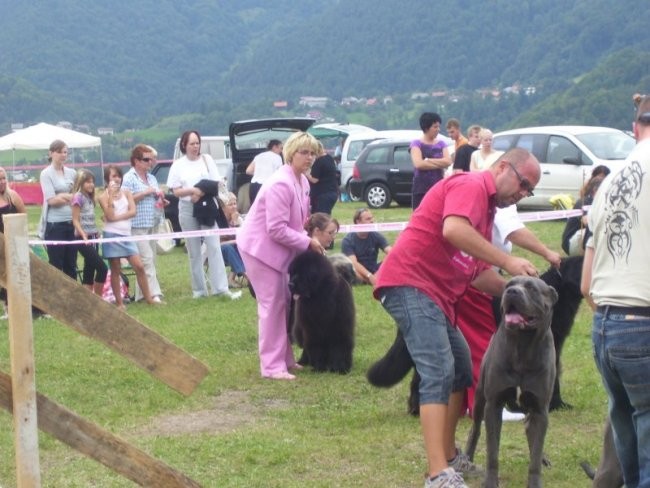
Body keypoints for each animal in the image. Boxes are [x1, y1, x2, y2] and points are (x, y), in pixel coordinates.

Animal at [466, 276, 556, 486]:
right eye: (508, 285)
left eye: (531, 288)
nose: (512, 292)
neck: (522, 347)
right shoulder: (493, 405)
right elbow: (492, 452)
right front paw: (490, 482)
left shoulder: (540, 409)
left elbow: (536, 453)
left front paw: (535, 482)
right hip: (479, 400)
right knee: (475, 430)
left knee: (531, 432)